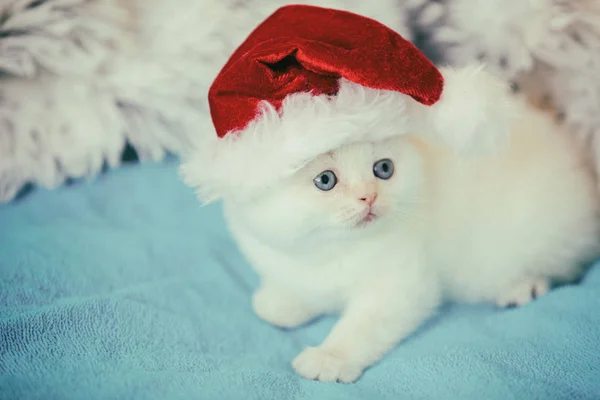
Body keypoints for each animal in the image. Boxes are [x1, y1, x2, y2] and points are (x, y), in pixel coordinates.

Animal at [220, 94, 600, 382]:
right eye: (325, 180)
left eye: (383, 169)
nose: (369, 197)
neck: (331, 250)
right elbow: (288, 297)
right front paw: (280, 301)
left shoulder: (401, 283)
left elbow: (363, 326)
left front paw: (330, 358)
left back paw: (524, 285)